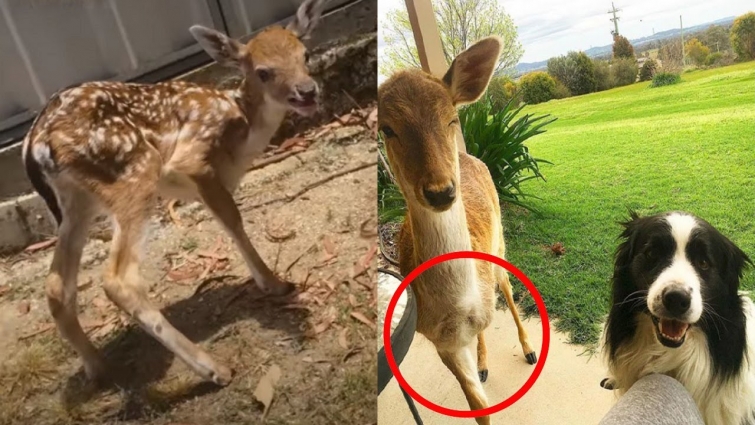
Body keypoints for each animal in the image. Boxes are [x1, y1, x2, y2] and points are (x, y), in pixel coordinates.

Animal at [19, 0, 328, 386]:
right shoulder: (193, 158)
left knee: (56, 285)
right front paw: (274, 283)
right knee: (118, 279)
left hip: (78, 201)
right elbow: (233, 220)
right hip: (134, 171)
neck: (244, 132)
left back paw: (98, 368)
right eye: (263, 72)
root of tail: (37, 143)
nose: (307, 91)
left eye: (304, 53)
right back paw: (214, 369)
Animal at [378, 37, 536, 424]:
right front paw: (479, 371)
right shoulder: (440, 340)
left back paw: (528, 349)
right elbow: (478, 406)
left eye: (452, 118)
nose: (441, 191)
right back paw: (483, 363)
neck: (457, 305)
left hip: (499, 244)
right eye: (387, 128)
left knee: (508, 288)